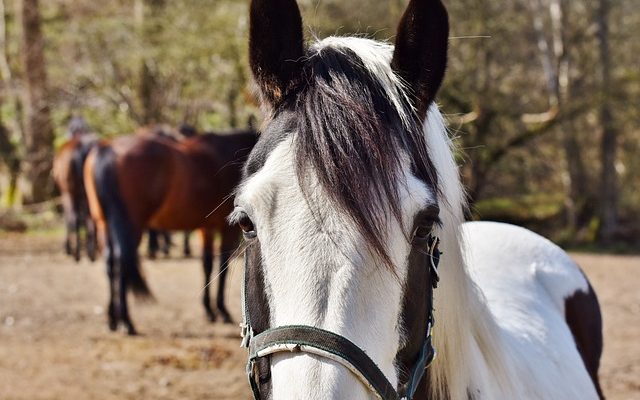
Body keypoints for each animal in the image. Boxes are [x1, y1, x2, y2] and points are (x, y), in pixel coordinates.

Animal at [85, 128, 258, 334]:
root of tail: (108, 147)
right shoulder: (226, 230)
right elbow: (222, 267)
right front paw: (222, 311)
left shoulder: (206, 229)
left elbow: (207, 265)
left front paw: (209, 310)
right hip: (130, 227)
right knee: (121, 264)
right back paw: (126, 321)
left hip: (105, 225)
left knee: (110, 264)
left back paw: (113, 319)